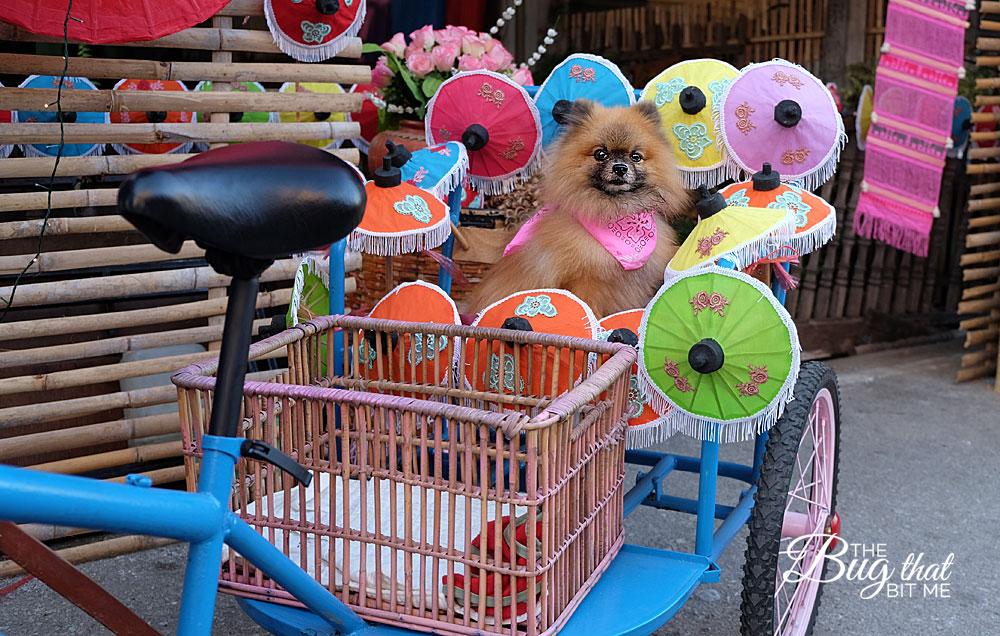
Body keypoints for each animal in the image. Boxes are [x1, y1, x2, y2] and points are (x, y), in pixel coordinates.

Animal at [470, 100, 692, 318]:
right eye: (600, 154)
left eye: (636, 156)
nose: (620, 167)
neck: (615, 213)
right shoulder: (584, 281)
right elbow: (588, 308)